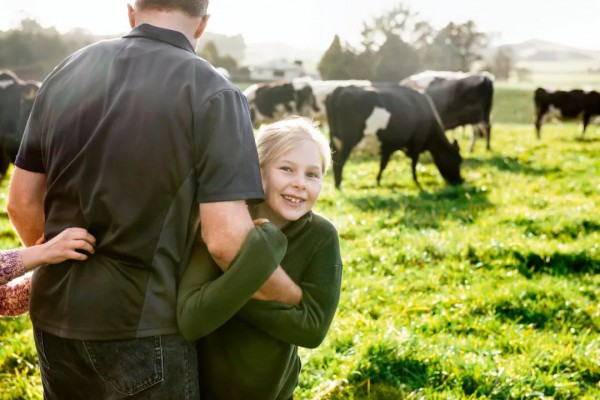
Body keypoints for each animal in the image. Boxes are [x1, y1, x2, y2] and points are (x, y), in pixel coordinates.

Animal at [328, 83, 464, 190]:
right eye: (457, 160)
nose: (459, 181)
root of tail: (341, 88)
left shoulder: (388, 145)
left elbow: (383, 164)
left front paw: (378, 181)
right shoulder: (418, 141)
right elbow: (414, 163)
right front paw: (416, 182)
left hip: (334, 141)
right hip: (348, 141)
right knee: (339, 162)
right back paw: (338, 186)